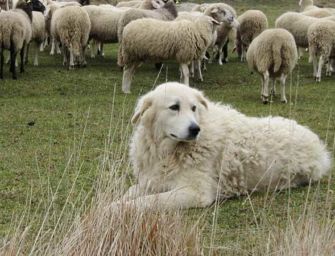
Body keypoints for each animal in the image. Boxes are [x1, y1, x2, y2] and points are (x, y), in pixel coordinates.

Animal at [117, 82, 332, 210]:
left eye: (194, 108)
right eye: (174, 107)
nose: (195, 129)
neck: (168, 151)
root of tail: (317, 143)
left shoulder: (196, 193)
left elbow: (145, 201)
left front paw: (116, 209)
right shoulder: (154, 180)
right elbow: (132, 192)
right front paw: (117, 201)